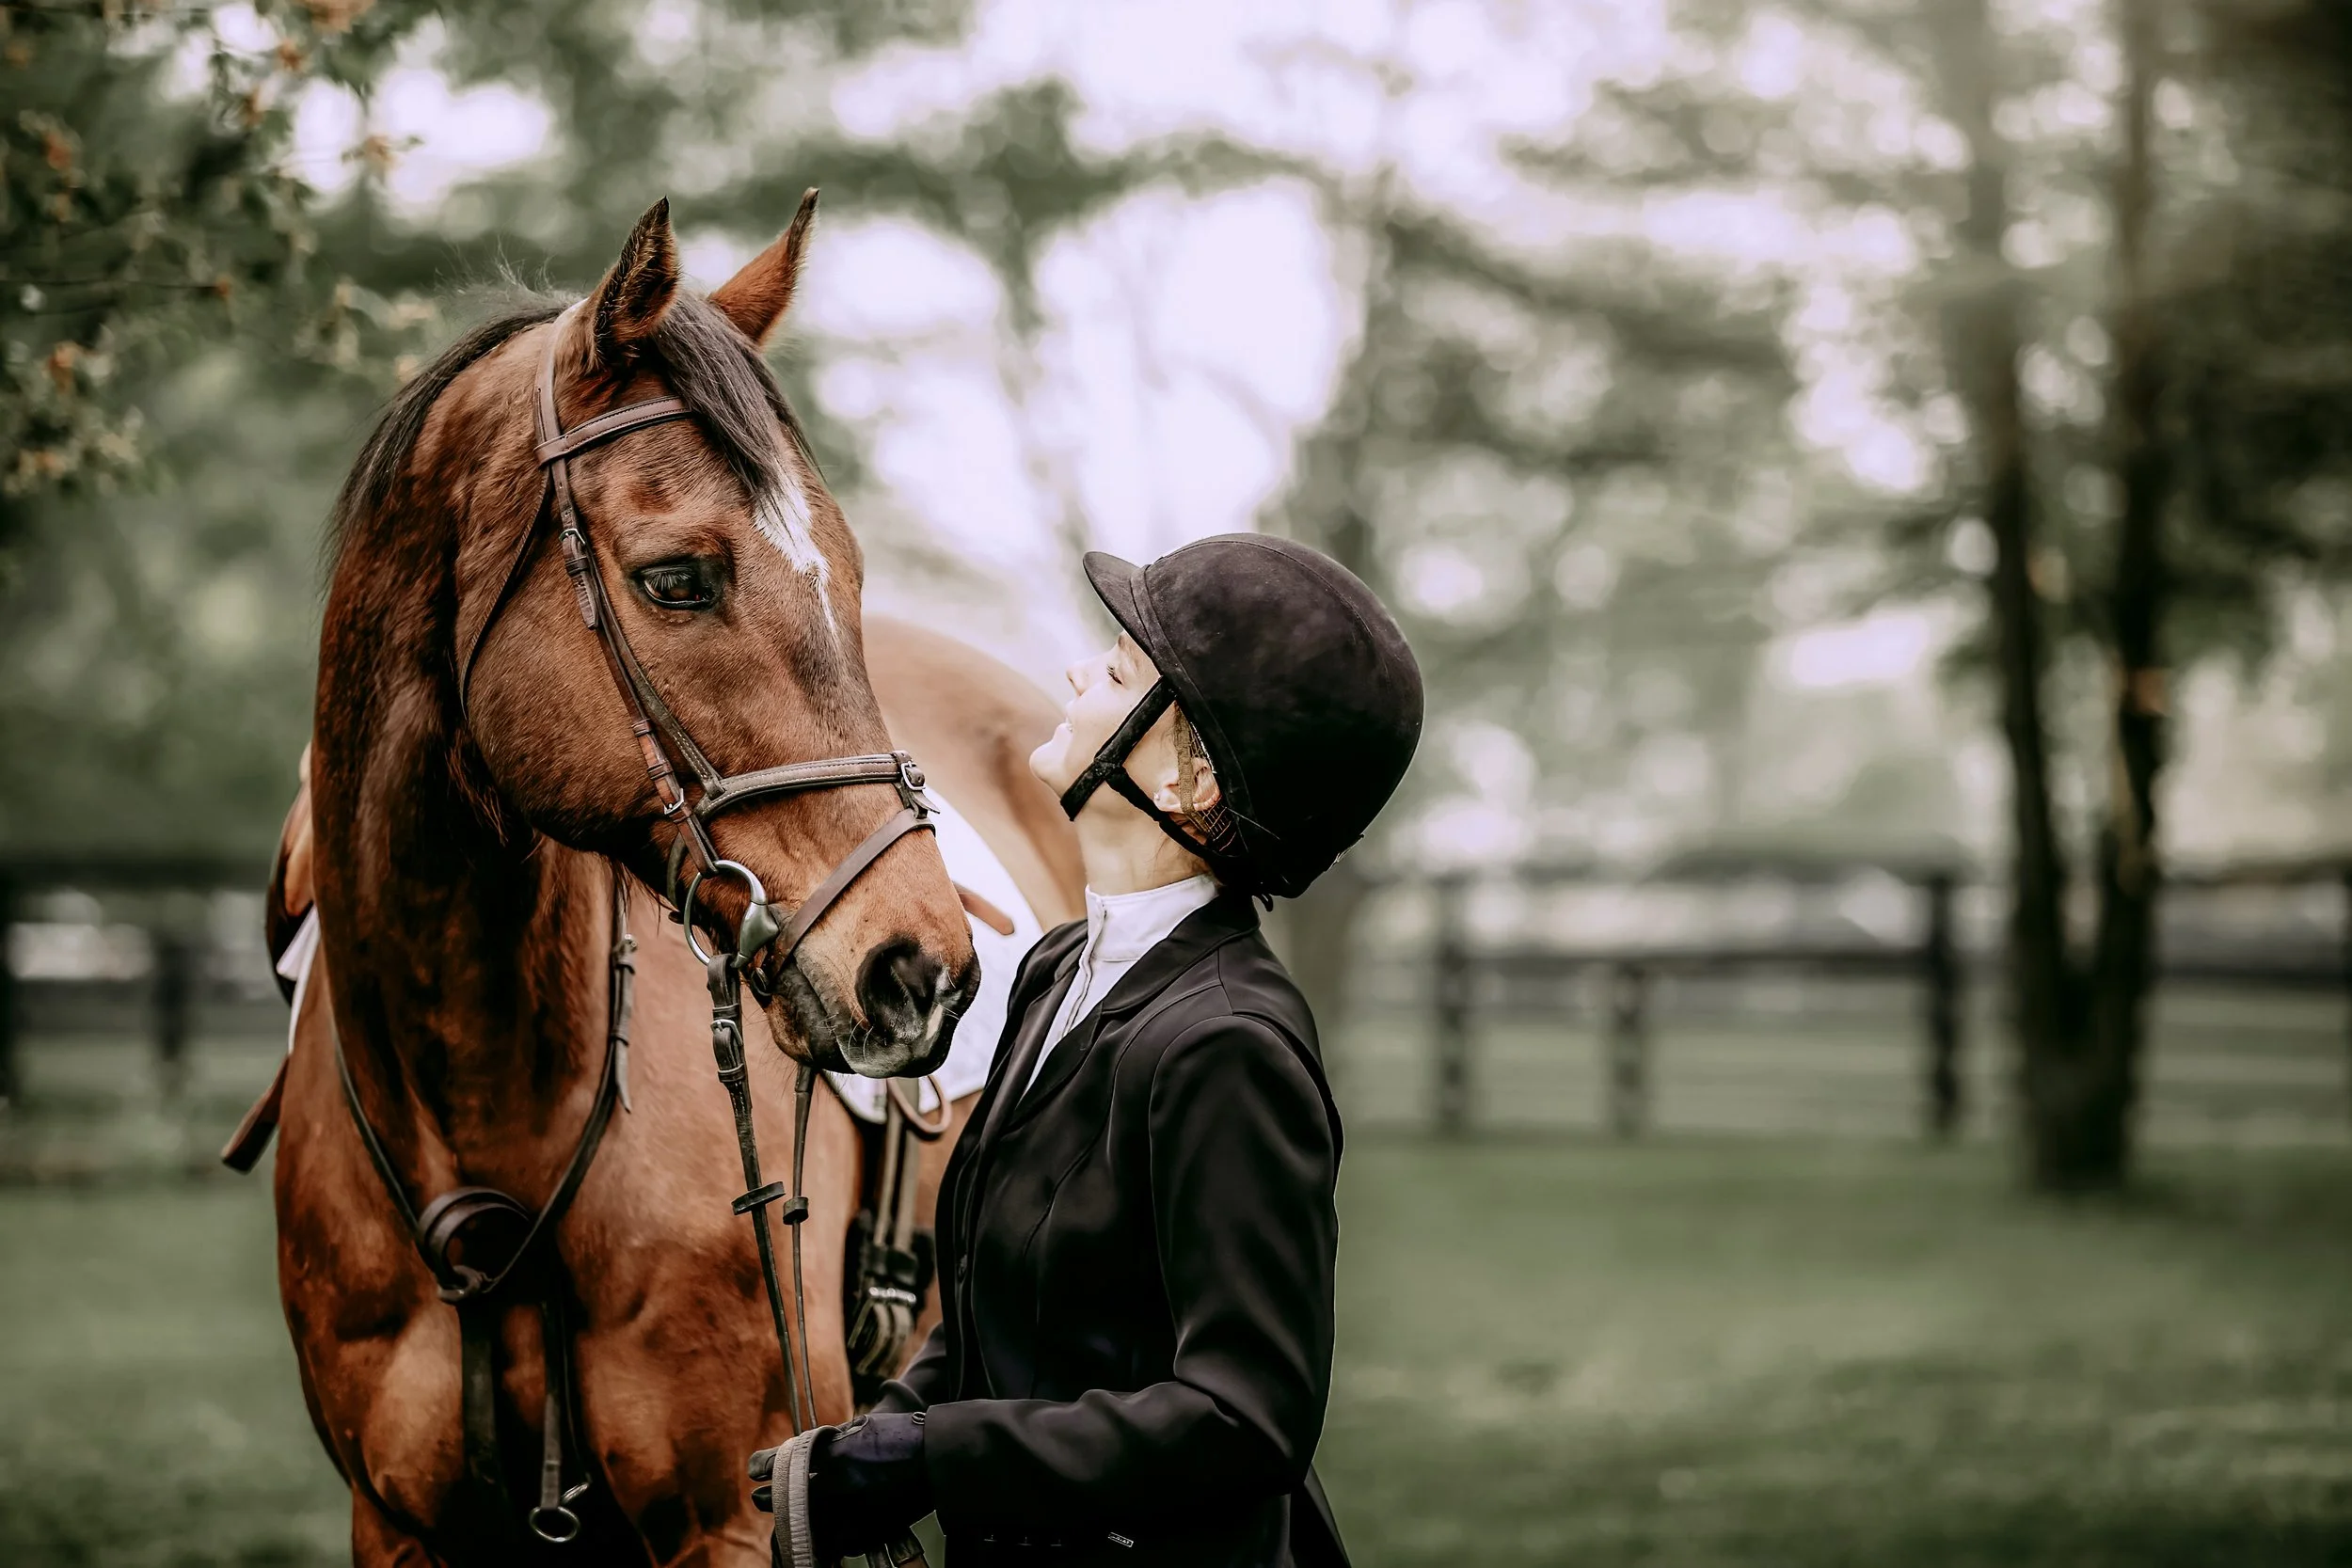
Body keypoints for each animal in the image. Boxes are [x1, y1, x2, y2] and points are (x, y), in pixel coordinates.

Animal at [266, 194, 1081, 1566]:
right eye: (677, 578)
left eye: (850, 573)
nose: (921, 969)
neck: (486, 1123)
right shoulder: (398, 1522)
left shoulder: (732, 1519)